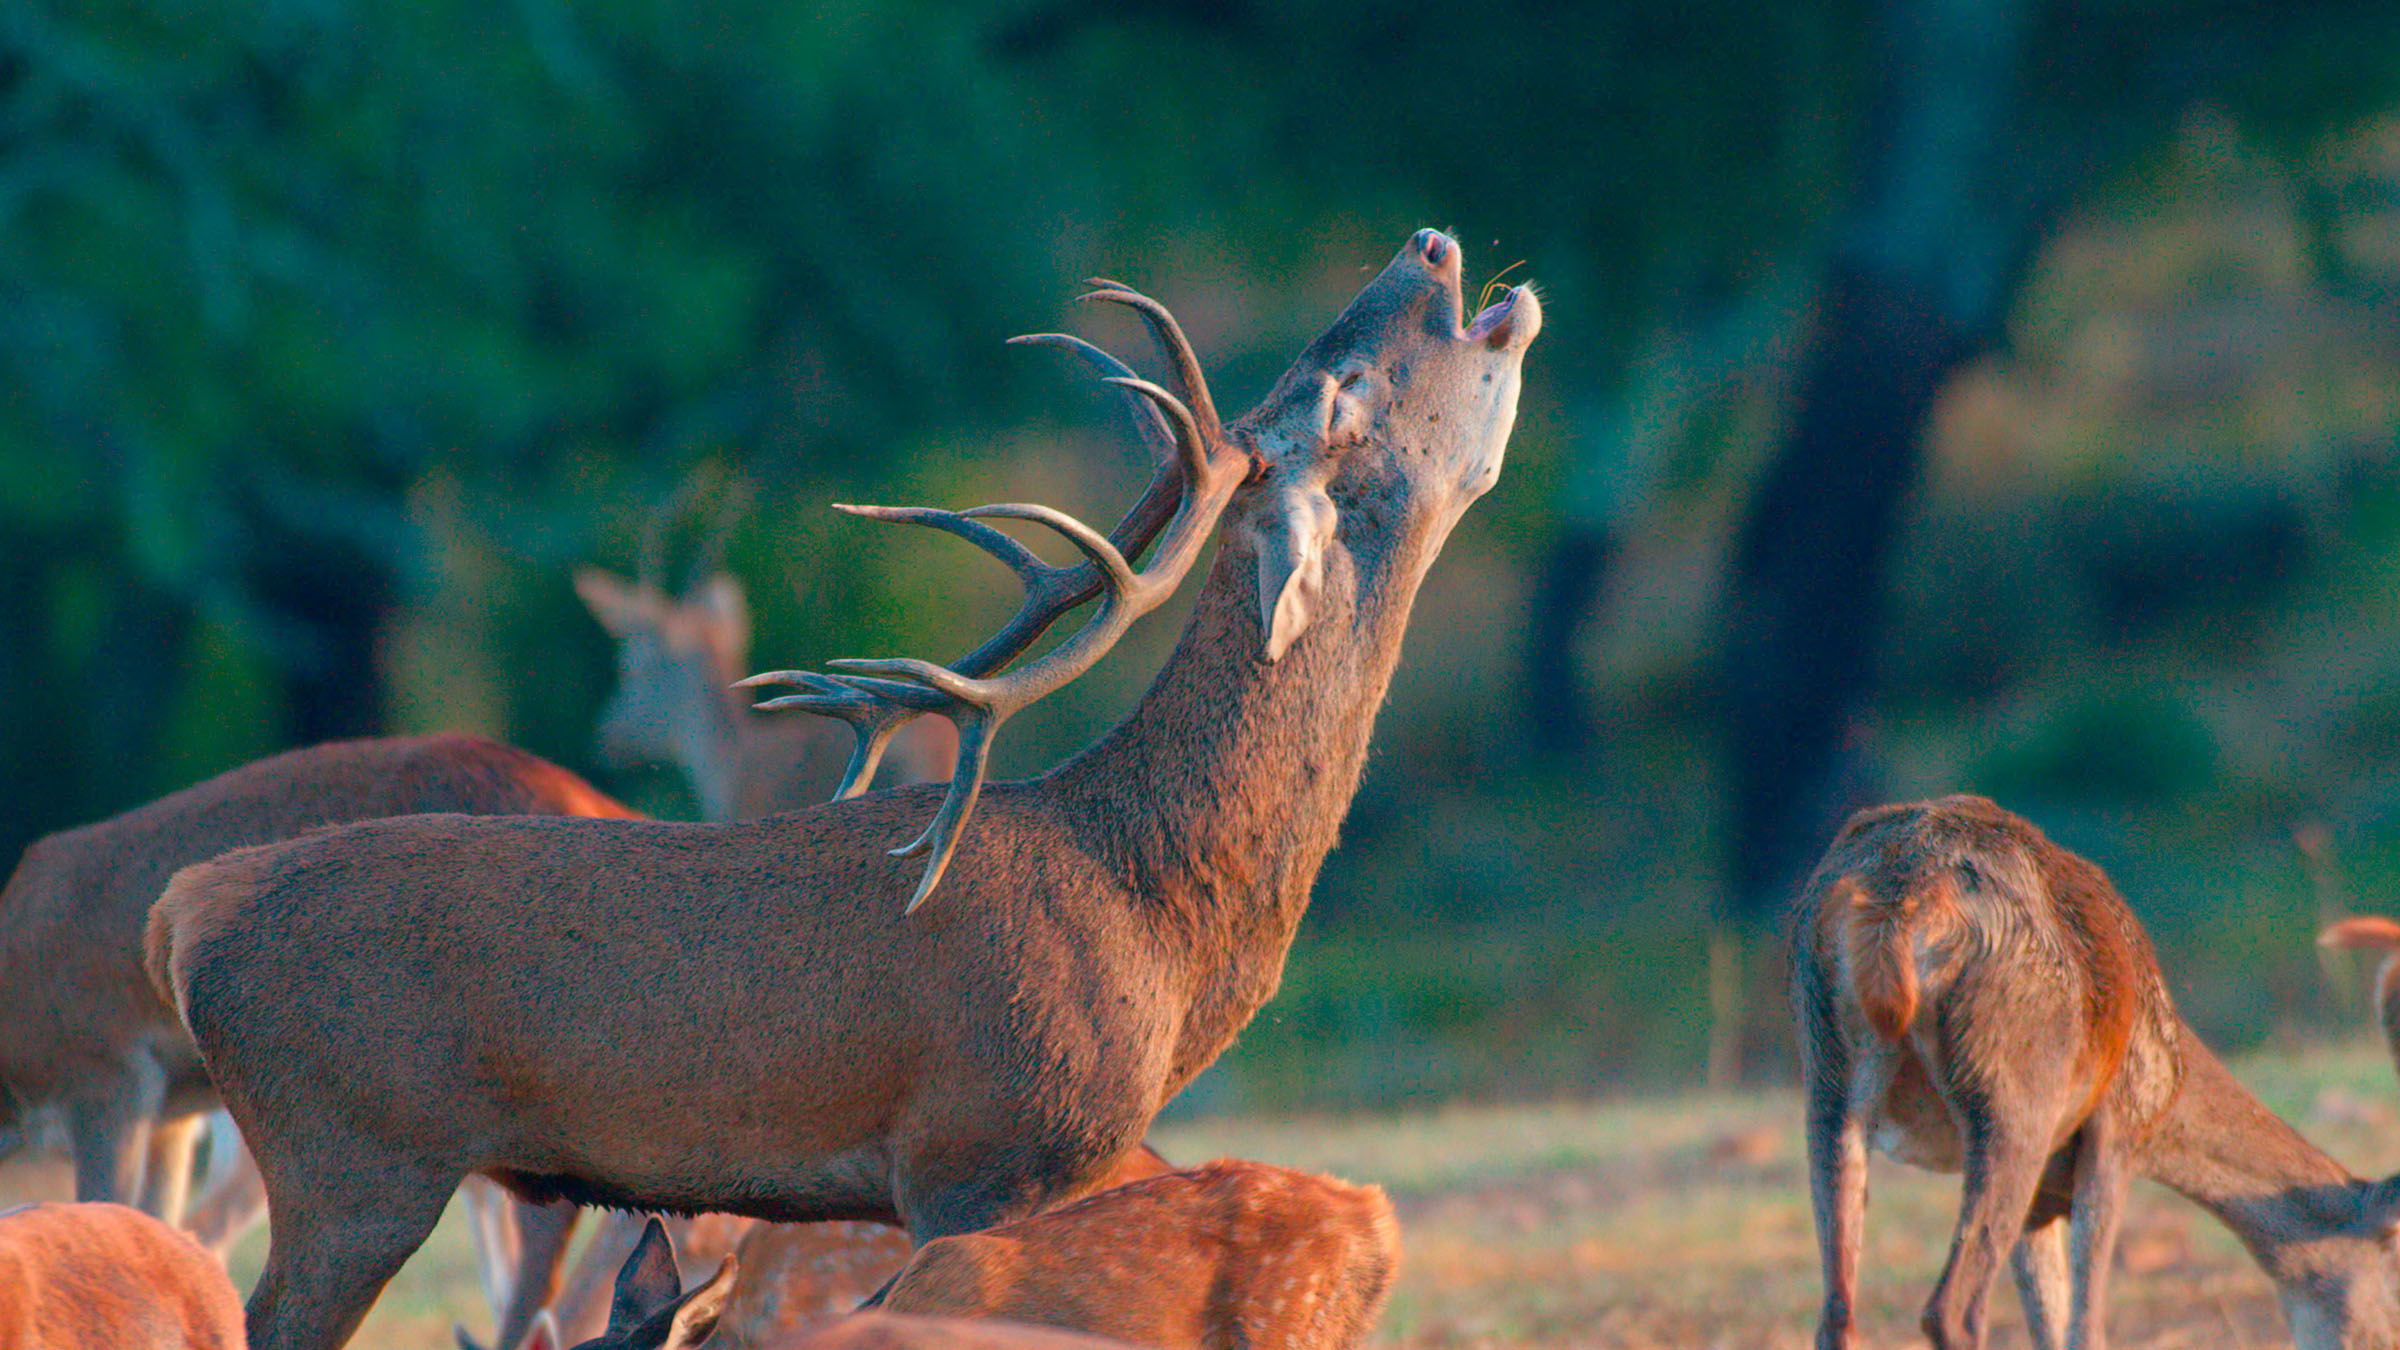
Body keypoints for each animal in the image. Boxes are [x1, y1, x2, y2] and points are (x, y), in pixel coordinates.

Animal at [144, 228, 1537, 1350]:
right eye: (1340, 389)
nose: (1429, 244)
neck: (1156, 918)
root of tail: (188, 912)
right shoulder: (979, 1148)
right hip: (348, 1158)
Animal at [1794, 793, 2400, 1350]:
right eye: (2395, 1274)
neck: (2170, 1092)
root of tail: (1897, 900)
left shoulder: (2045, 1194)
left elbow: (2051, 1323)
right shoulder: (2117, 1130)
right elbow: (2083, 1328)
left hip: (1829, 1075)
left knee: (1836, 1314)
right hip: (2012, 1091)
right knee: (1952, 1309)